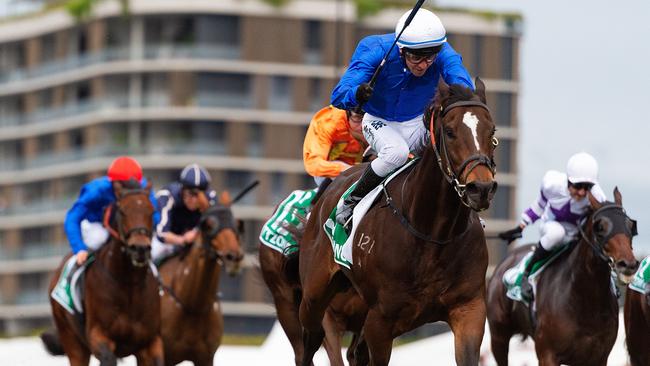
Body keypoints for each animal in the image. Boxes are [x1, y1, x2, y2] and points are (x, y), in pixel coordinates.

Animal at [40, 181, 161, 366]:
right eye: (122, 211)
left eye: (152, 211)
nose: (140, 248)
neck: (129, 284)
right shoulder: (98, 335)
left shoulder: (151, 342)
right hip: (71, 340)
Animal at [158, 192, 244, 366]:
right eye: (208, 225)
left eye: (237, 225)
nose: (234, 258)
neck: (193, 306)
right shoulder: (164, 354)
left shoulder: (206, 357)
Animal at [298, 78, 496, 366]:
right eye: (450, 132)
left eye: (492, 132)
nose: (480, 188)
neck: (433, 234)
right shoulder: (381, 321)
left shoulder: (469, 310)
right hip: (315, 294)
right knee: (309, 339)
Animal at [486, 189, 636, 366]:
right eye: (600, 227)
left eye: (630, 225)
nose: (628, 264)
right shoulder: (547, 354)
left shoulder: (599, 357)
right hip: (498, 337)